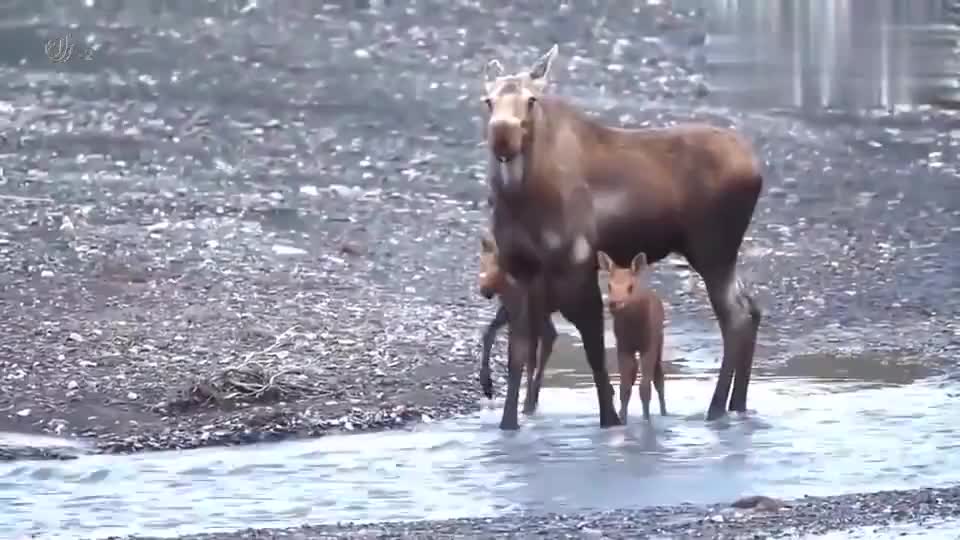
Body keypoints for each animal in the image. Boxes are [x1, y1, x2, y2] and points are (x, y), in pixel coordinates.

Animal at [600, 251, 668, 424]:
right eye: (609, 285)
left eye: (630, 286)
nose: (615, 303)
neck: (634, 327)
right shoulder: (623, 346)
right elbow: (624, 387)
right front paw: (623, 419)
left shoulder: (648, 346)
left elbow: (645, 387)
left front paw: (646, 418)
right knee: (634, 373)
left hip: (659, 341)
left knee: (659, 377)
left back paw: (664, 412)